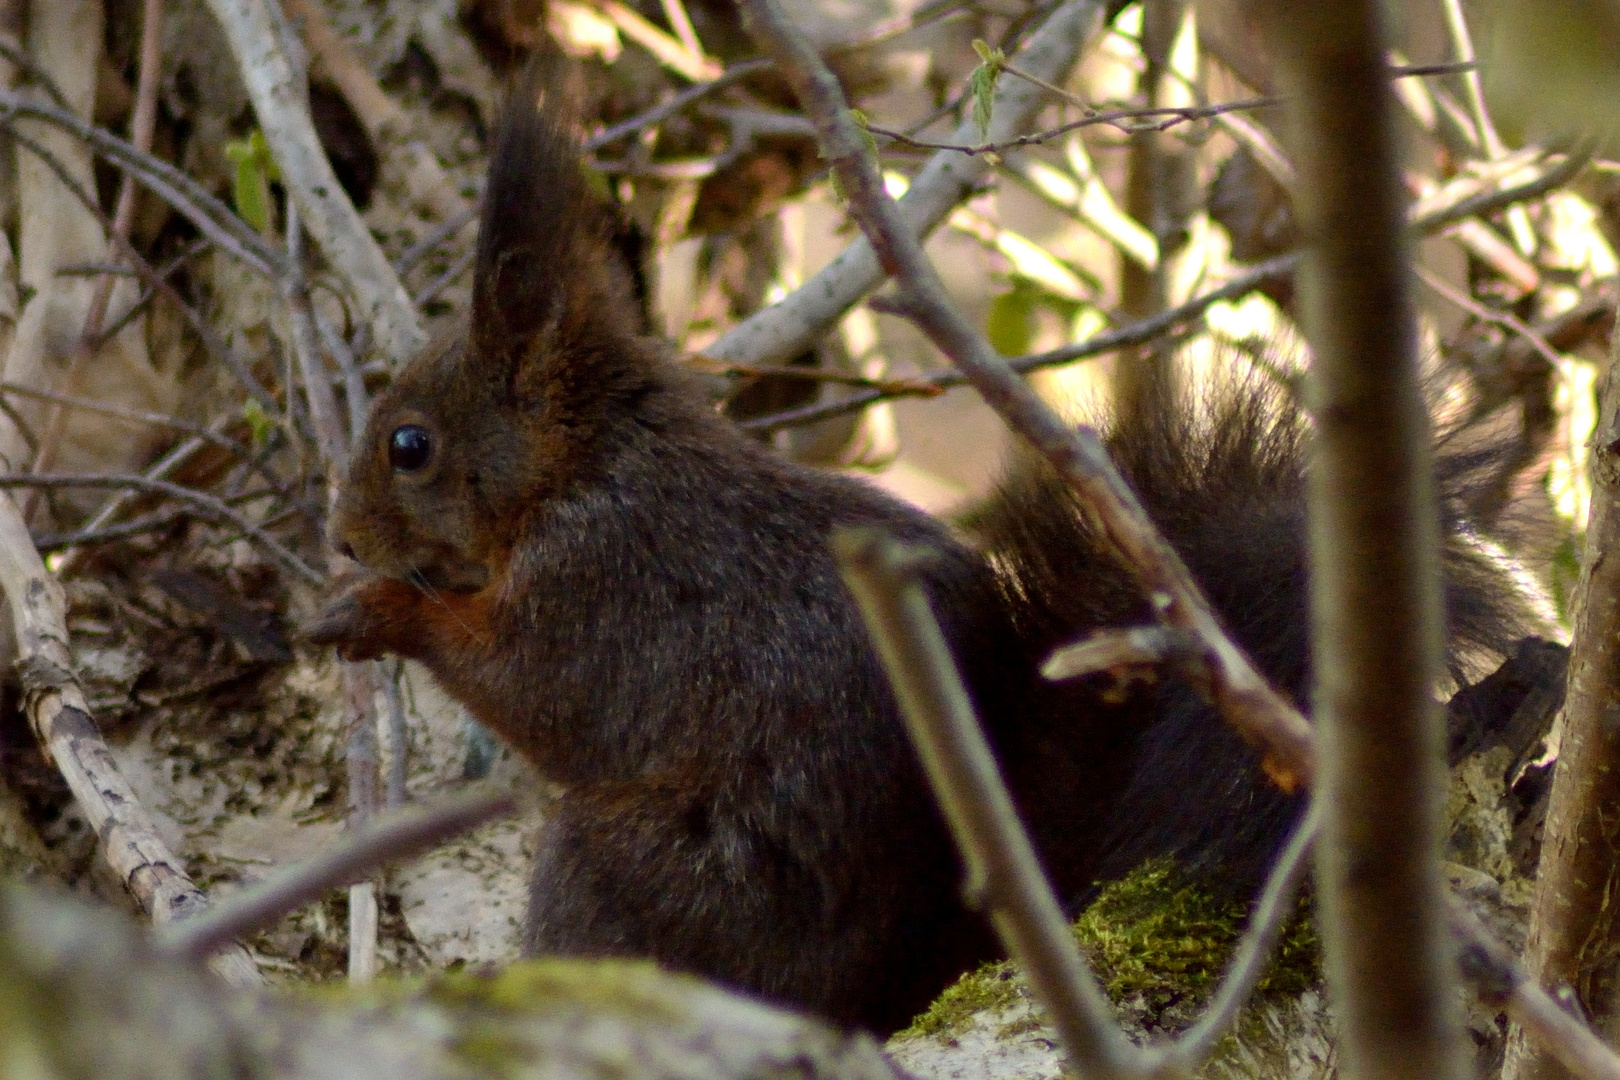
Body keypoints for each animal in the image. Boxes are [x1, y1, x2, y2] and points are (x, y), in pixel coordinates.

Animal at [306, 71, 1555, 1036]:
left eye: (409, 445)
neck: (587, 464)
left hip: (627, 869)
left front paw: (374, 610)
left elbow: (536, 692)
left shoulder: (604, 580)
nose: (340, 531)